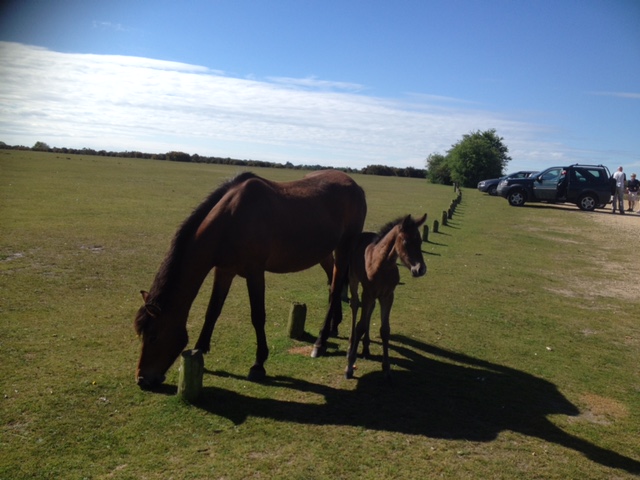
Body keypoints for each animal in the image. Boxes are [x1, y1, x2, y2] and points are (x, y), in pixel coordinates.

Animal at [134, 171, 364, 388]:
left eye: (153, 336)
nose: (142, 379)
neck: (231, 221)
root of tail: (355, 185)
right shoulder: (224, 271)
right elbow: (213, 311)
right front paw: (200, 349)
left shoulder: (255, 273)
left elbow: (257, 316)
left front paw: (258, 364)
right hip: (326, 252)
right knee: (332, 283)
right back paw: (333, 327)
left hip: (344, 247)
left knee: (335, 288)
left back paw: (320, 341)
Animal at [342, 216, 428, 380]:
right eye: (406, 242)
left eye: (420, 241)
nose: (420, 269)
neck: (382, 264)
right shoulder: (368, 293)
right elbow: (360, 326)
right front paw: (349, 367)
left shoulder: (388, 296)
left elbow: (385, 330)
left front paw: (386, 368)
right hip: (354, 279)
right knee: (355, 305)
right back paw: (351, 346)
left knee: (369, 310)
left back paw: (366, 346)